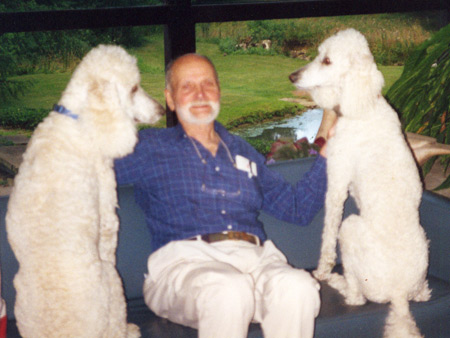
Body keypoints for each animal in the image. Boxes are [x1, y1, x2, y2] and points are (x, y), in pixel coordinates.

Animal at [290, 29, 430, 338]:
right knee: (423, 295)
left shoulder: (336, 184)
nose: (292, 76)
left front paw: (321, 270)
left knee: (356, 297)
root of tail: (399, 295)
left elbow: (327, 237)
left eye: (327, 61)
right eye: (319, 54)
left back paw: (336, 281)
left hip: (350, 228)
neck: (364, 105)